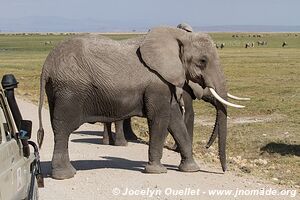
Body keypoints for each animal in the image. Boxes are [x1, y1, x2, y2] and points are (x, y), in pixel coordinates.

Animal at [37, 26, 244, 180]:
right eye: (202, 61)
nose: (224, 170)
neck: (178, 36)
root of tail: (46, 65)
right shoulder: (157, 83)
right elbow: (160, 119)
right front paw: (157, 171)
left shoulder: (166, 83)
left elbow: (174, 120)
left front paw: (191, 169)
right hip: (69, 91)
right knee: (63, 129)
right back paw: (65, 175)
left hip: (57, 92)